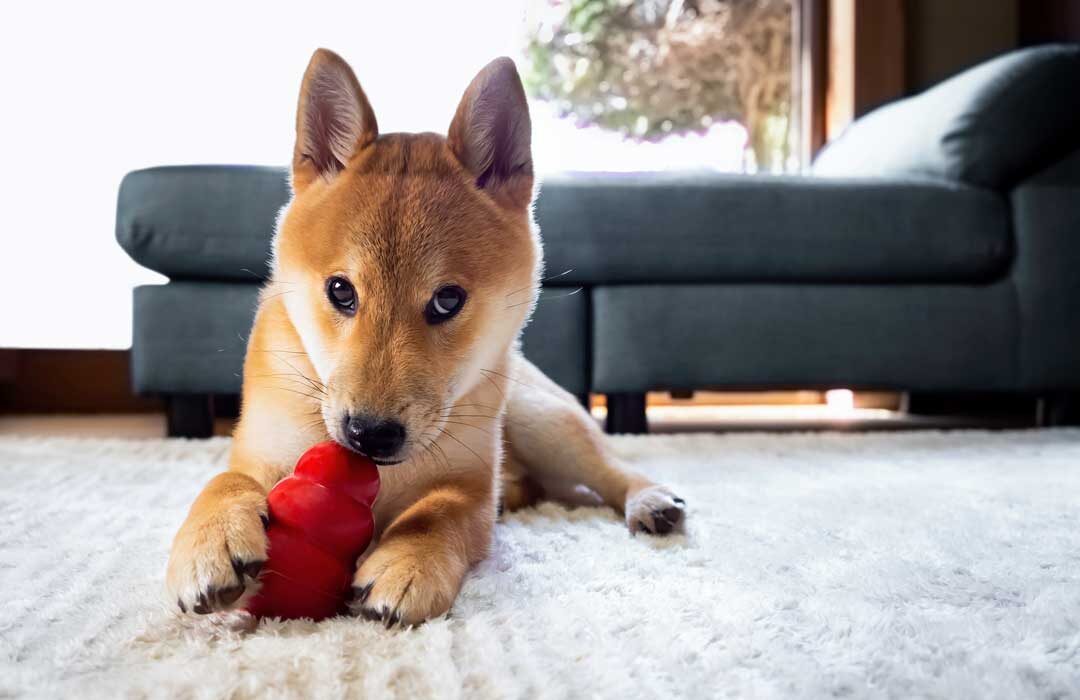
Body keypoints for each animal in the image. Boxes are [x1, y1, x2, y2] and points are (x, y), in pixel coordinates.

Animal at [167, 50, 686, 630]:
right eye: (341, 291)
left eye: (447, 300)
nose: (369, 434)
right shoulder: (260, 451)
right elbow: (225, 481)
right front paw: (210, 540)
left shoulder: (472, 486)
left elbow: (440, 513)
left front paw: (408, 562)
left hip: (542, 422)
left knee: (607, 471)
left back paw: (650, 500)